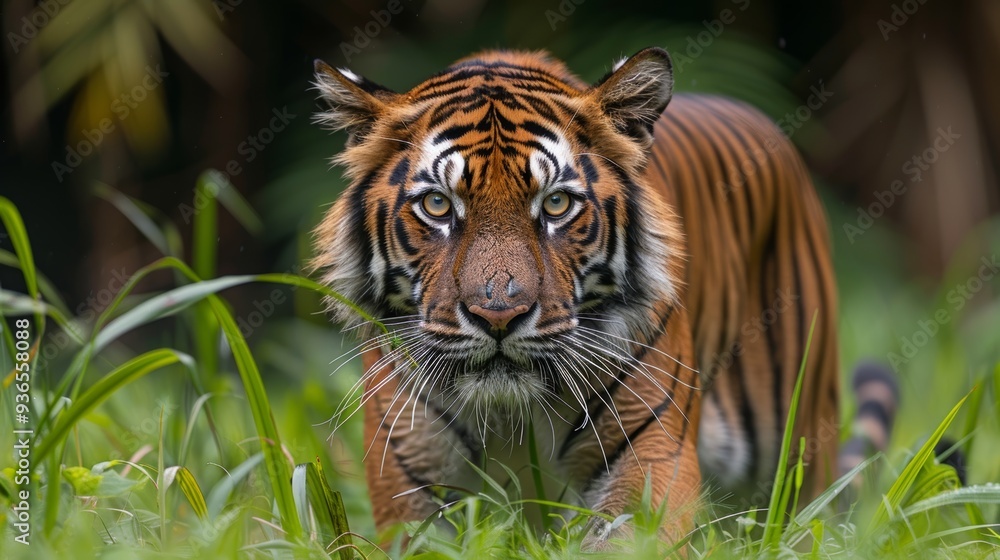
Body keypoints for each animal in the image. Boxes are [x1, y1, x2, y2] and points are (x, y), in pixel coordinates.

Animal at [310, 47, 894, 545]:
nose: (498, 315)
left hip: (798, 449)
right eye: (437, 205)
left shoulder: (650, 451)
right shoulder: (408, 472)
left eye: (556, 204)